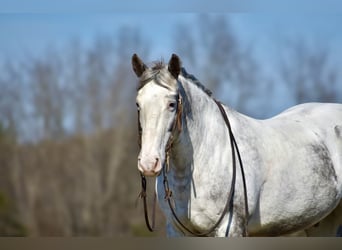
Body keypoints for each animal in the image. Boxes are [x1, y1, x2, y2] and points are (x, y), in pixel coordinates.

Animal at [132, 52, 342, 236]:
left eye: (172, 104)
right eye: (138, 104)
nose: (149, 163)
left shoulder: (231, 227)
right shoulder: (177, 231)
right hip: (323, 222)